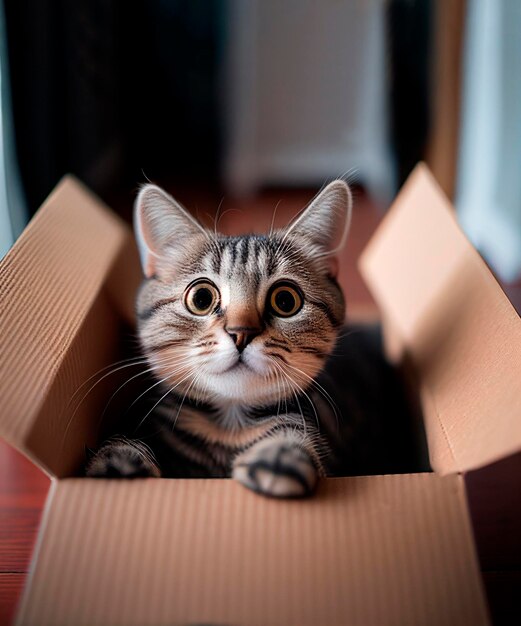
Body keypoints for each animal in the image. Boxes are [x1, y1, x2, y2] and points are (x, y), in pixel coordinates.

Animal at [86, 179, 426, 492]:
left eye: (286, 301)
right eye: (201, 298)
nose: (241, 333)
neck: (230, 427)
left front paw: (278, 457)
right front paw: (118, 461)